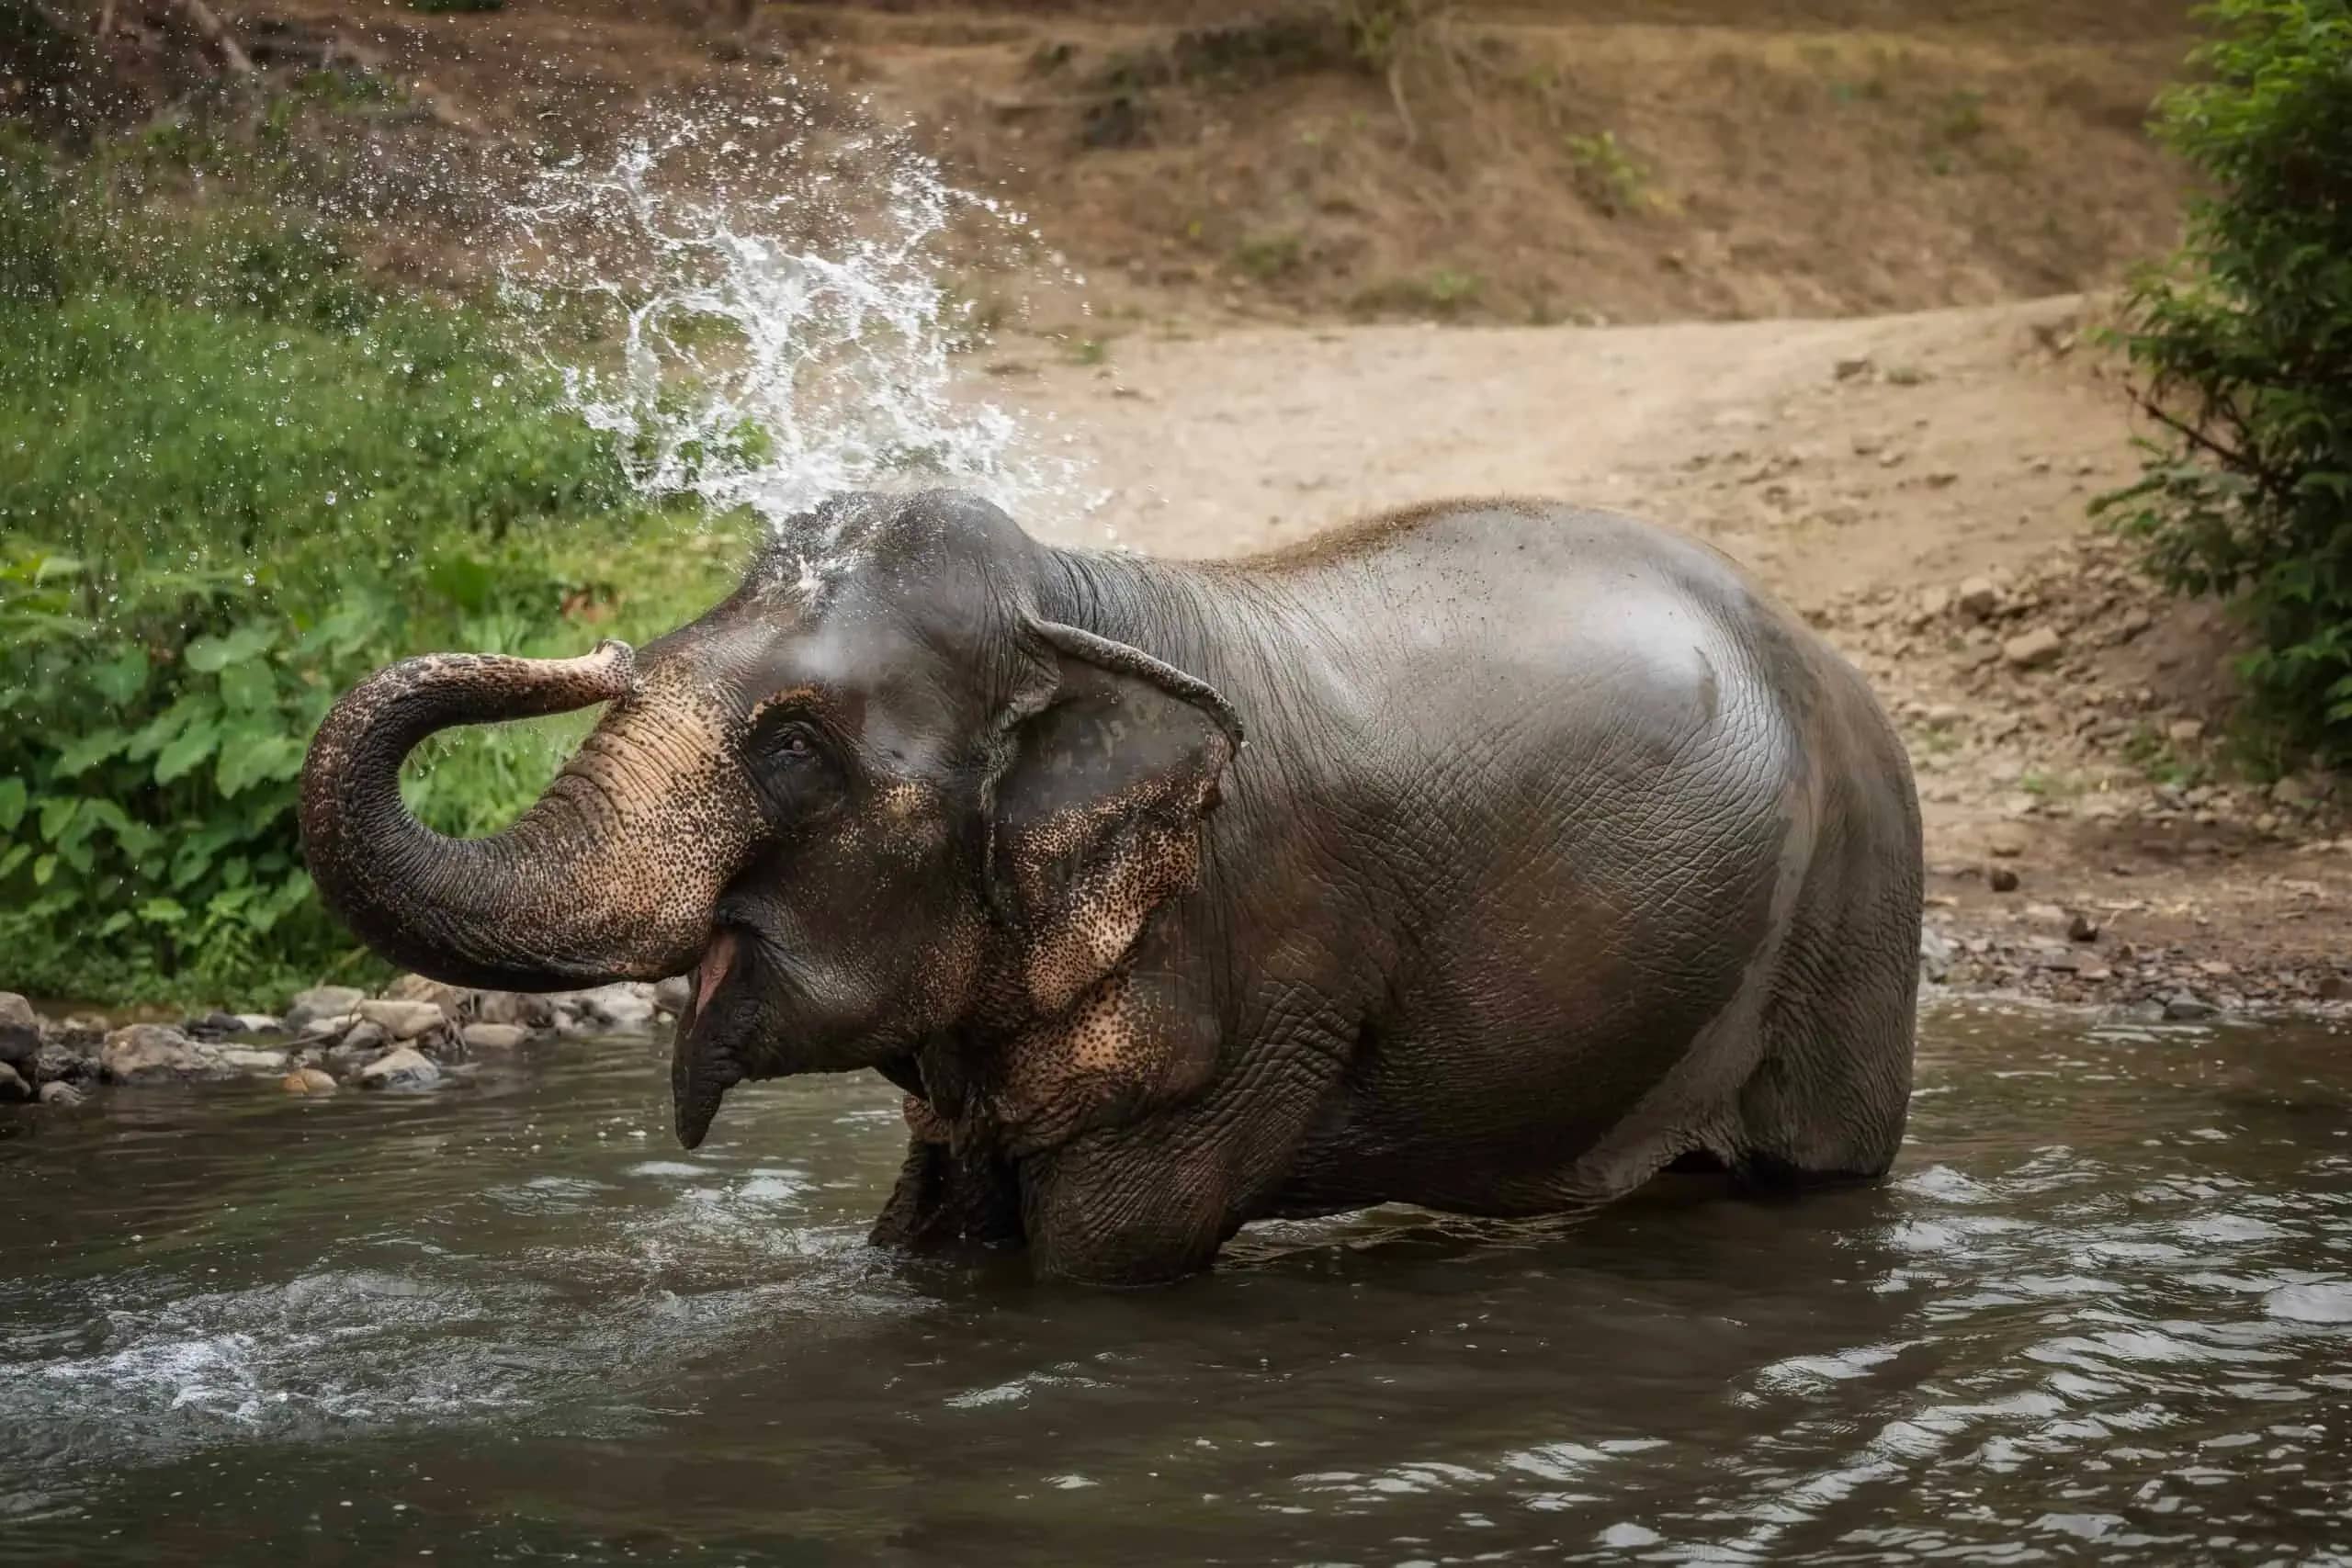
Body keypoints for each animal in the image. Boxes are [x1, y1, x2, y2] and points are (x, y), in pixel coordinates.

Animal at [298, 489, 1922, 1286]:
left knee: (1814, 1169)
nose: (591, 643)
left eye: (797, 750)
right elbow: (933, 1223)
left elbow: (1113, 1249)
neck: (1077, 602)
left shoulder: (1253, 968)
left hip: (1858, 904)